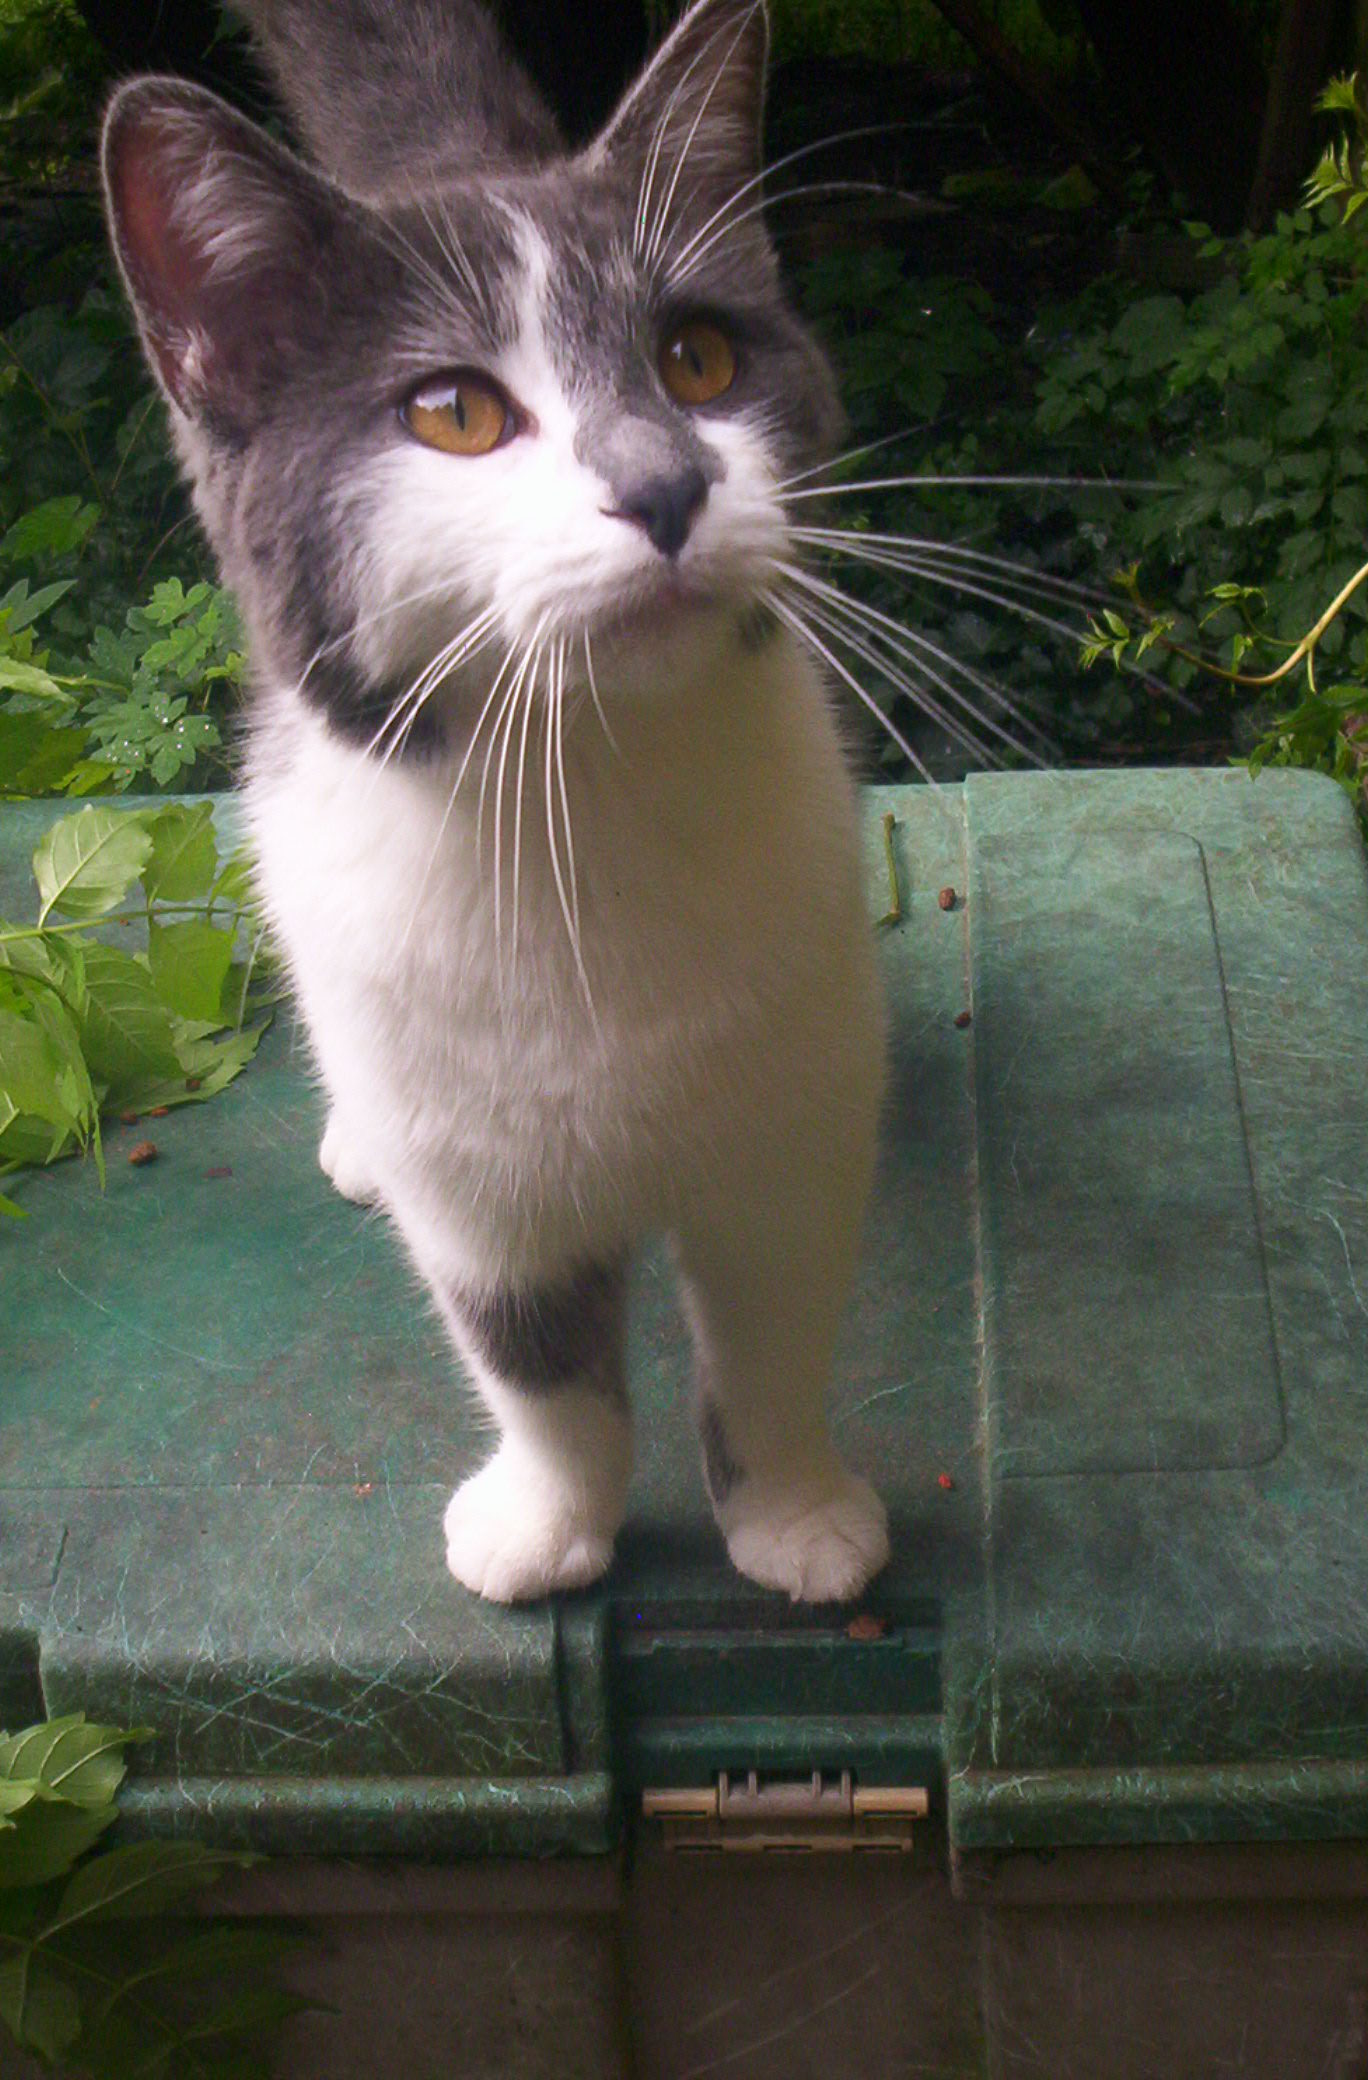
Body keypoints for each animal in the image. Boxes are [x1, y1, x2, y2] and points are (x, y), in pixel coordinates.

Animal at [101, 0, 889, 1605]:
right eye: (455, 412)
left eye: (700, 358)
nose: (664, 485)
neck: (594, 796)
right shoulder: (479, 1178)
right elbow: (534, 1358)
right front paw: (545, 1527)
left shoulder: (791, 1123)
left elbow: (774, 1335)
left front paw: (797, 1517)